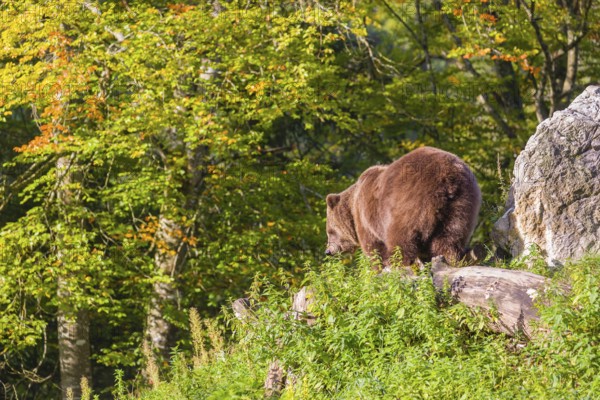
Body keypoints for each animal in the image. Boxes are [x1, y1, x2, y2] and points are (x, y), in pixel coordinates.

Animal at [326, 145, 480, 268]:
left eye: (330, 231)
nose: (328, 251)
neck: (353, 207)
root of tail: (449, 177)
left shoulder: (366, 217)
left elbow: (373, 247)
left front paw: (378, 267)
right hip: (462, 204)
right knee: (449, 236)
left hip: (410, 201)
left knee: (402, 237)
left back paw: (400, 263)